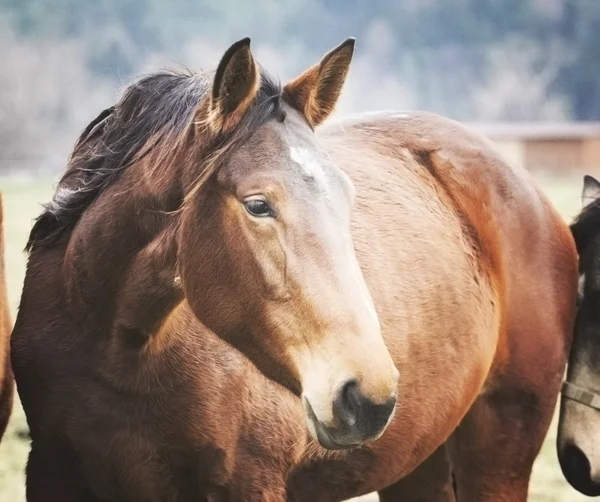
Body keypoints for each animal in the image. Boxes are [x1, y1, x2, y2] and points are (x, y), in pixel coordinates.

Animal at [12, 36, 576, 502]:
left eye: (347, 198)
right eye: (258, 205)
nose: (367, 396)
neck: (119, 349)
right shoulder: (52, 474)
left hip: (498, 451)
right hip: (422, 464)